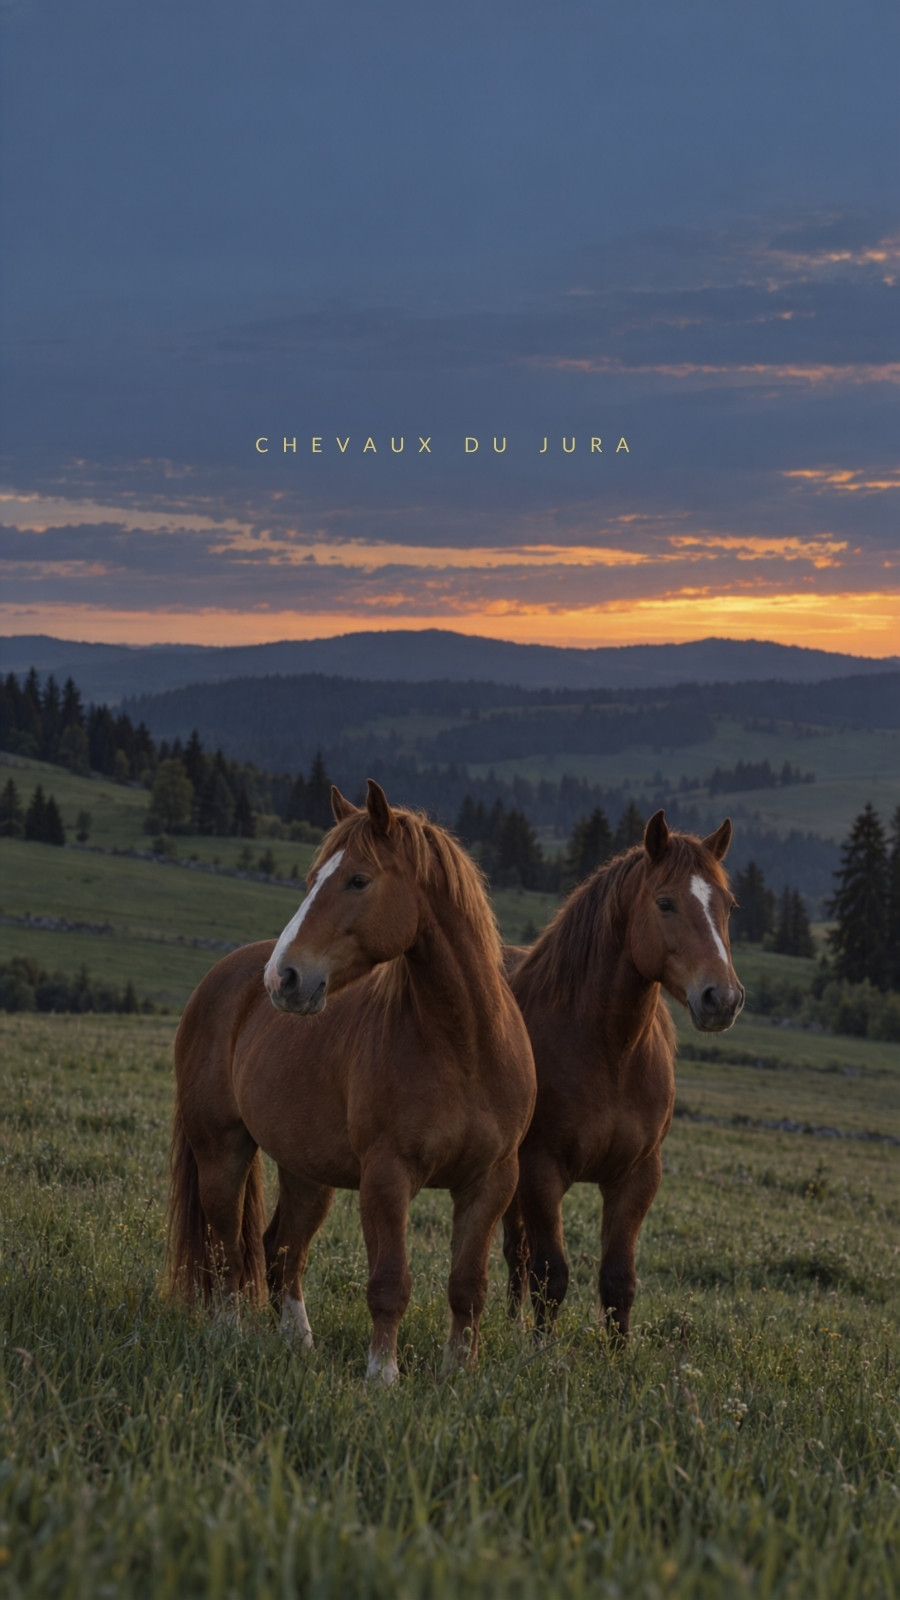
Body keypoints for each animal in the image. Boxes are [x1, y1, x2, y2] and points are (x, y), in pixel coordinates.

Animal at [169, 779, 536, 1384]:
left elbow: (468, 1287)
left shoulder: (491, 1181)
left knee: (281, 1252)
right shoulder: (386, 1176)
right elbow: (389, 1282)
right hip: (221, 1149)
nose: (284, 978)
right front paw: (382, 1375)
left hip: (306, 1171)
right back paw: (227, 1335)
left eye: (358, 879)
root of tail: (221, 979)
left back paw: (298, 1344)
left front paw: (458, 1374)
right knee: (227, 1251)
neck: (464, 1049)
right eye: (313, 878)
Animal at [502, 809, 744, 1339]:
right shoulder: (540, 1170)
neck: (611, 1052)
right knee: (516, 1254)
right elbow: (550, 1273)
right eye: (665, 902)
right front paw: (537, 1350)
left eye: (729, 906)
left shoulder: (637, 1175)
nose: (722, 998)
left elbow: (618, 1281)